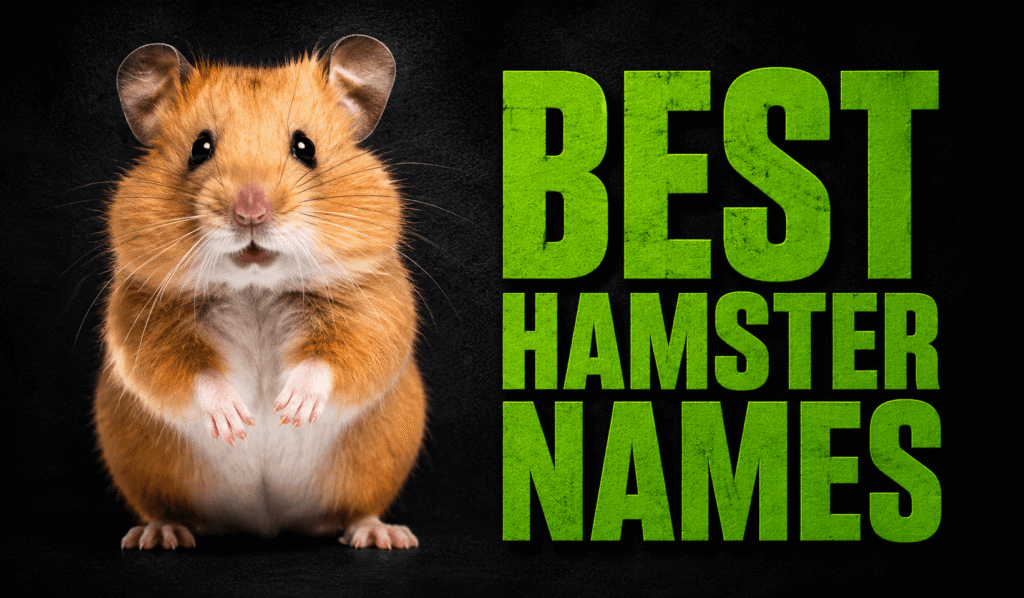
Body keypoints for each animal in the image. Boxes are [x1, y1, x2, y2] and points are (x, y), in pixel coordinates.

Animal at [93, 35, 425, 550]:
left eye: (305, 147)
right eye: (200, 148)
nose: (251, 211)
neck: (255, 288)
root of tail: (266, 523)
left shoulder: (376, 310)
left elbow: (336, 358)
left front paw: (290, 409)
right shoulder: (142, 321)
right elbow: (188, 373)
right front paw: (237, 423)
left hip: (371, 469)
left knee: (357, 512)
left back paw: (383, 535)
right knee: (166, 510)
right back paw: (161, 534)